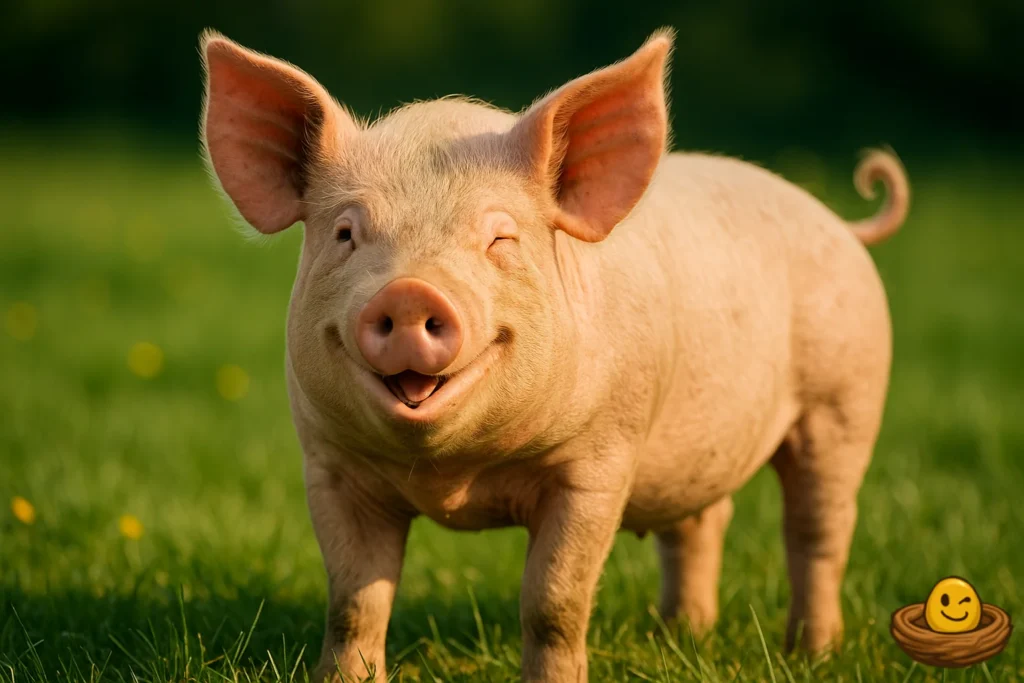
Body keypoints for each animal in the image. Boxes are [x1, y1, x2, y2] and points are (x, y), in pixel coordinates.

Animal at [200, 27, 909, 683]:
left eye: (500, 239)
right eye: (347, 233)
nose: (408, 291)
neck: (454, 479)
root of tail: (843, 224)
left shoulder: (597, 463)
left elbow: (553, 601)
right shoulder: (331, 464)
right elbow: (353, 601)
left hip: (846, 399)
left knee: (817, 528)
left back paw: (813, 653)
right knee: (702, 522)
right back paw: (678, 636)